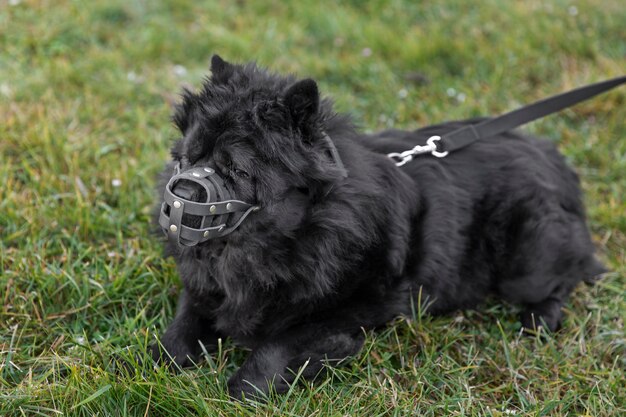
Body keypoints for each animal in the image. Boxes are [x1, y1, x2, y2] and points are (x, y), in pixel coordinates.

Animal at [151, 55, 604, 396]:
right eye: (187, 158)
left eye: (237, 170)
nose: (184, 190)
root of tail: (555, 160)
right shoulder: (204, 289)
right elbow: (181, 327)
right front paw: (159, 363)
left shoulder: (351, 310)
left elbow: (277, 346)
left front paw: (244, 388)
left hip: (527, 264)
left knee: (570, 273)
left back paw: (538, 321)